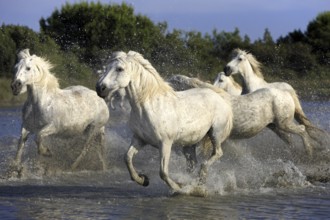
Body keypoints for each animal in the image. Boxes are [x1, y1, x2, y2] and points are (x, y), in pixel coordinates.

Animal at [96, 51, 233, 192]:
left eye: (119, 69)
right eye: (106, 68)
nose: (99, 88)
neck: (148, 105)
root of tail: (219, 97)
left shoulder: (165, 143)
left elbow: (163, 172)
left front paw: (177, 187)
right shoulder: (139, 139)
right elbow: (127, 158)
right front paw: (143, 180)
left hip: (215, 133)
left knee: (216, 154)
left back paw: (201, 178)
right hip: (189, 143)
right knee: (192, 164)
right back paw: (193, 184)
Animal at [168, 75, 314, 157]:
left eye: (172, 81)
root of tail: (287, 93)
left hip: (285, 123)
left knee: (302, 130)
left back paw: (309, 152)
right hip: (276, 127)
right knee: (289, 139)